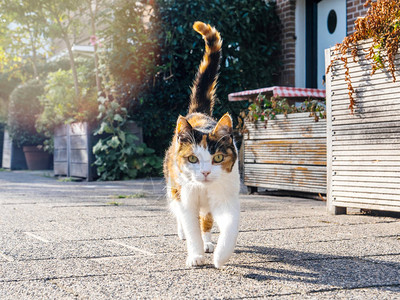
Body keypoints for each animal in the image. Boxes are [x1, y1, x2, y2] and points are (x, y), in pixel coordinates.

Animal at [163, 21, 241, 270]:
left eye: (218, 158)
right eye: (192, 159)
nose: (206, 173)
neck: (204, 188)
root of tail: (199, 113)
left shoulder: (226, 195)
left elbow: (229, 226)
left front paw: (220, 255)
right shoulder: (185, 196)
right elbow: (190, 225)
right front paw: (195, 255)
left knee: (206, 218)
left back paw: (208, 242)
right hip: (173, 185)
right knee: (181, 213)